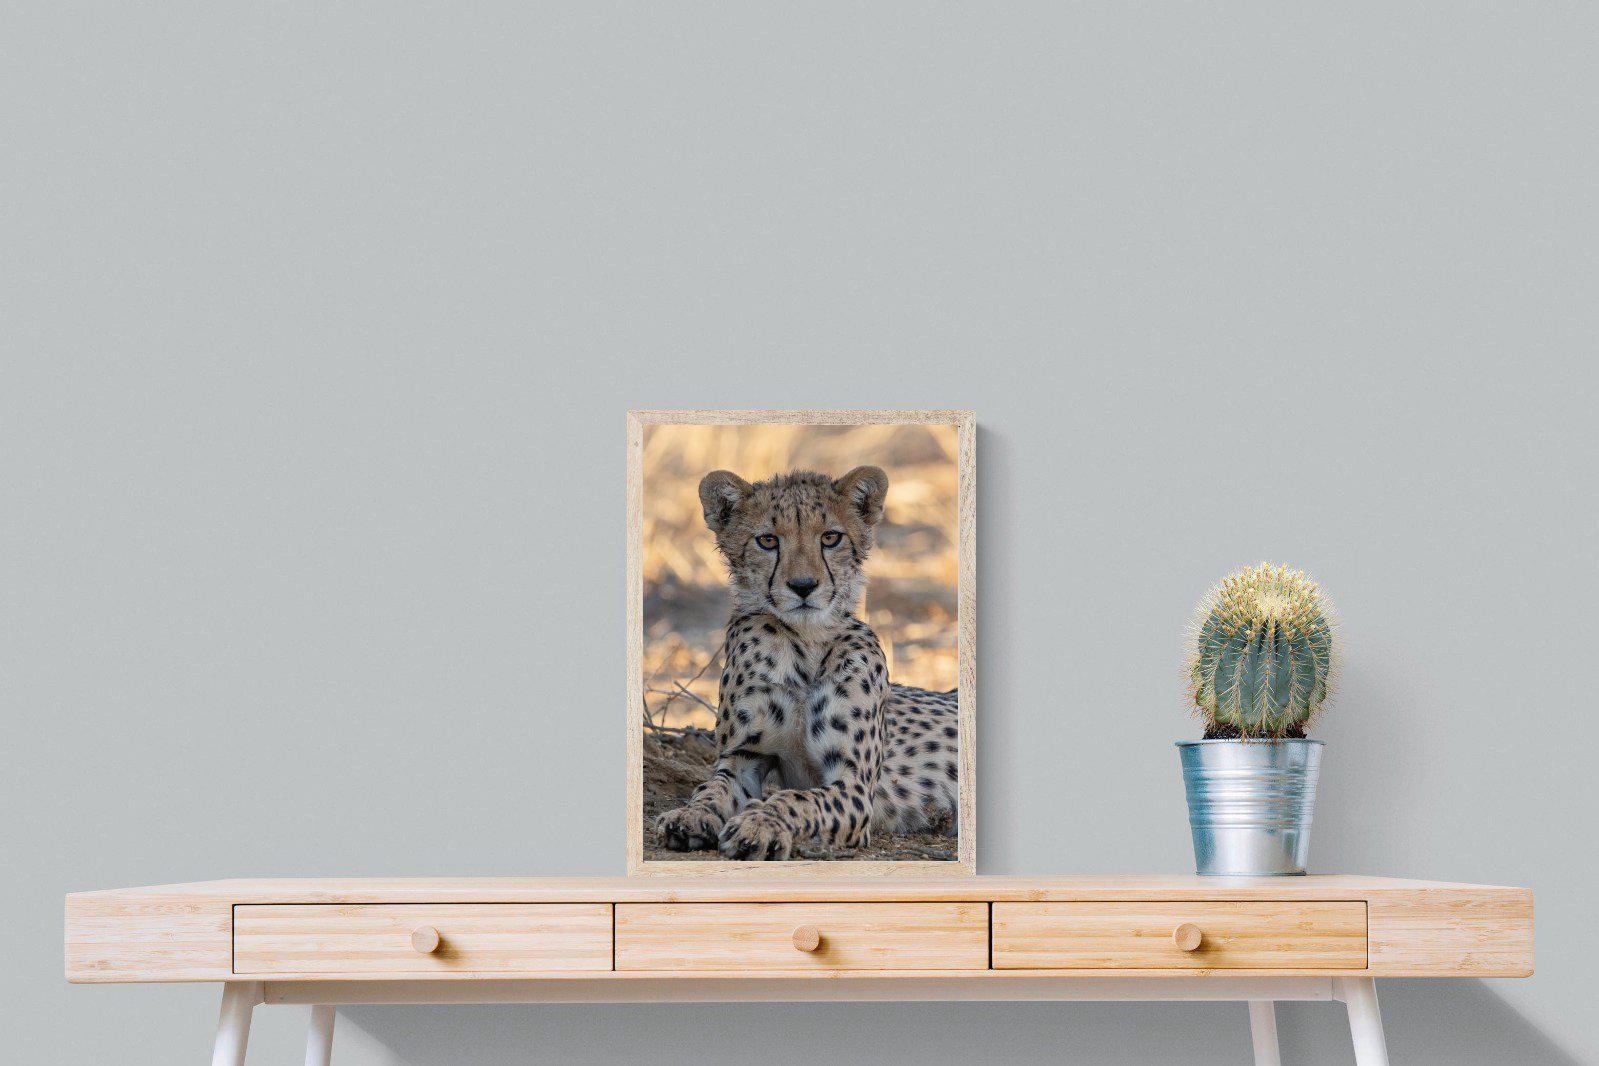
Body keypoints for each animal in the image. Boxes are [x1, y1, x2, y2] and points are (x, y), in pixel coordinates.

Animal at [655, 464, 960, 861]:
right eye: (767, 541)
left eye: (830, 537)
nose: (803, 586)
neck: (805, 644)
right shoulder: (743, 757)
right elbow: (711, 788)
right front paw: (690, 815)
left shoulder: (853, 784)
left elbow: (798, 799)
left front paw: (759, 825)